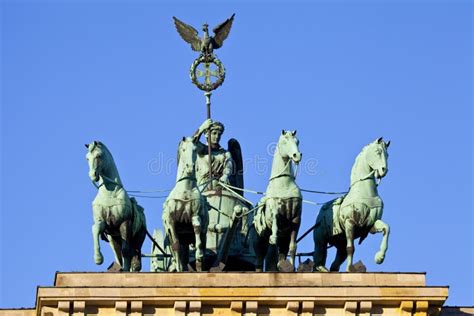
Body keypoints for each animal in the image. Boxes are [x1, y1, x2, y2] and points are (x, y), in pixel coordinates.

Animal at [162, 136, 208, 272]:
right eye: (183, 150)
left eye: (195, 150)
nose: (190, 167)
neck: (185, 190)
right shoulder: (171, 222)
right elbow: (176, 245)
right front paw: (179, 267)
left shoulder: (195, 214)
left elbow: (197, 228)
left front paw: (199, 257)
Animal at [254, 131, 302, 272]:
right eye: (284, 141)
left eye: (297, 141)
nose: (297, 155)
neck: (284, 184)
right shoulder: (273, 207)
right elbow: (275, 215)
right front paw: (273, 236)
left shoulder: (296, 219)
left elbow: (293, 247)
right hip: (258, 241)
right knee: (259, 259)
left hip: (283, 240)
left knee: (281, 254)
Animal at [314, 136, 388, 272]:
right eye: (378, 152)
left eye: (387, 154)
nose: (384, 170)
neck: (363, 192)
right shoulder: (350, 223)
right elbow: (351, 248)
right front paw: (349, 269)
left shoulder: (370, 224)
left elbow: (387, 228)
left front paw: (380, 257)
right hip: (320, 239)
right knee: (319, 254)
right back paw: (321, 268)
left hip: (340, 243)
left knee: (335, 264)